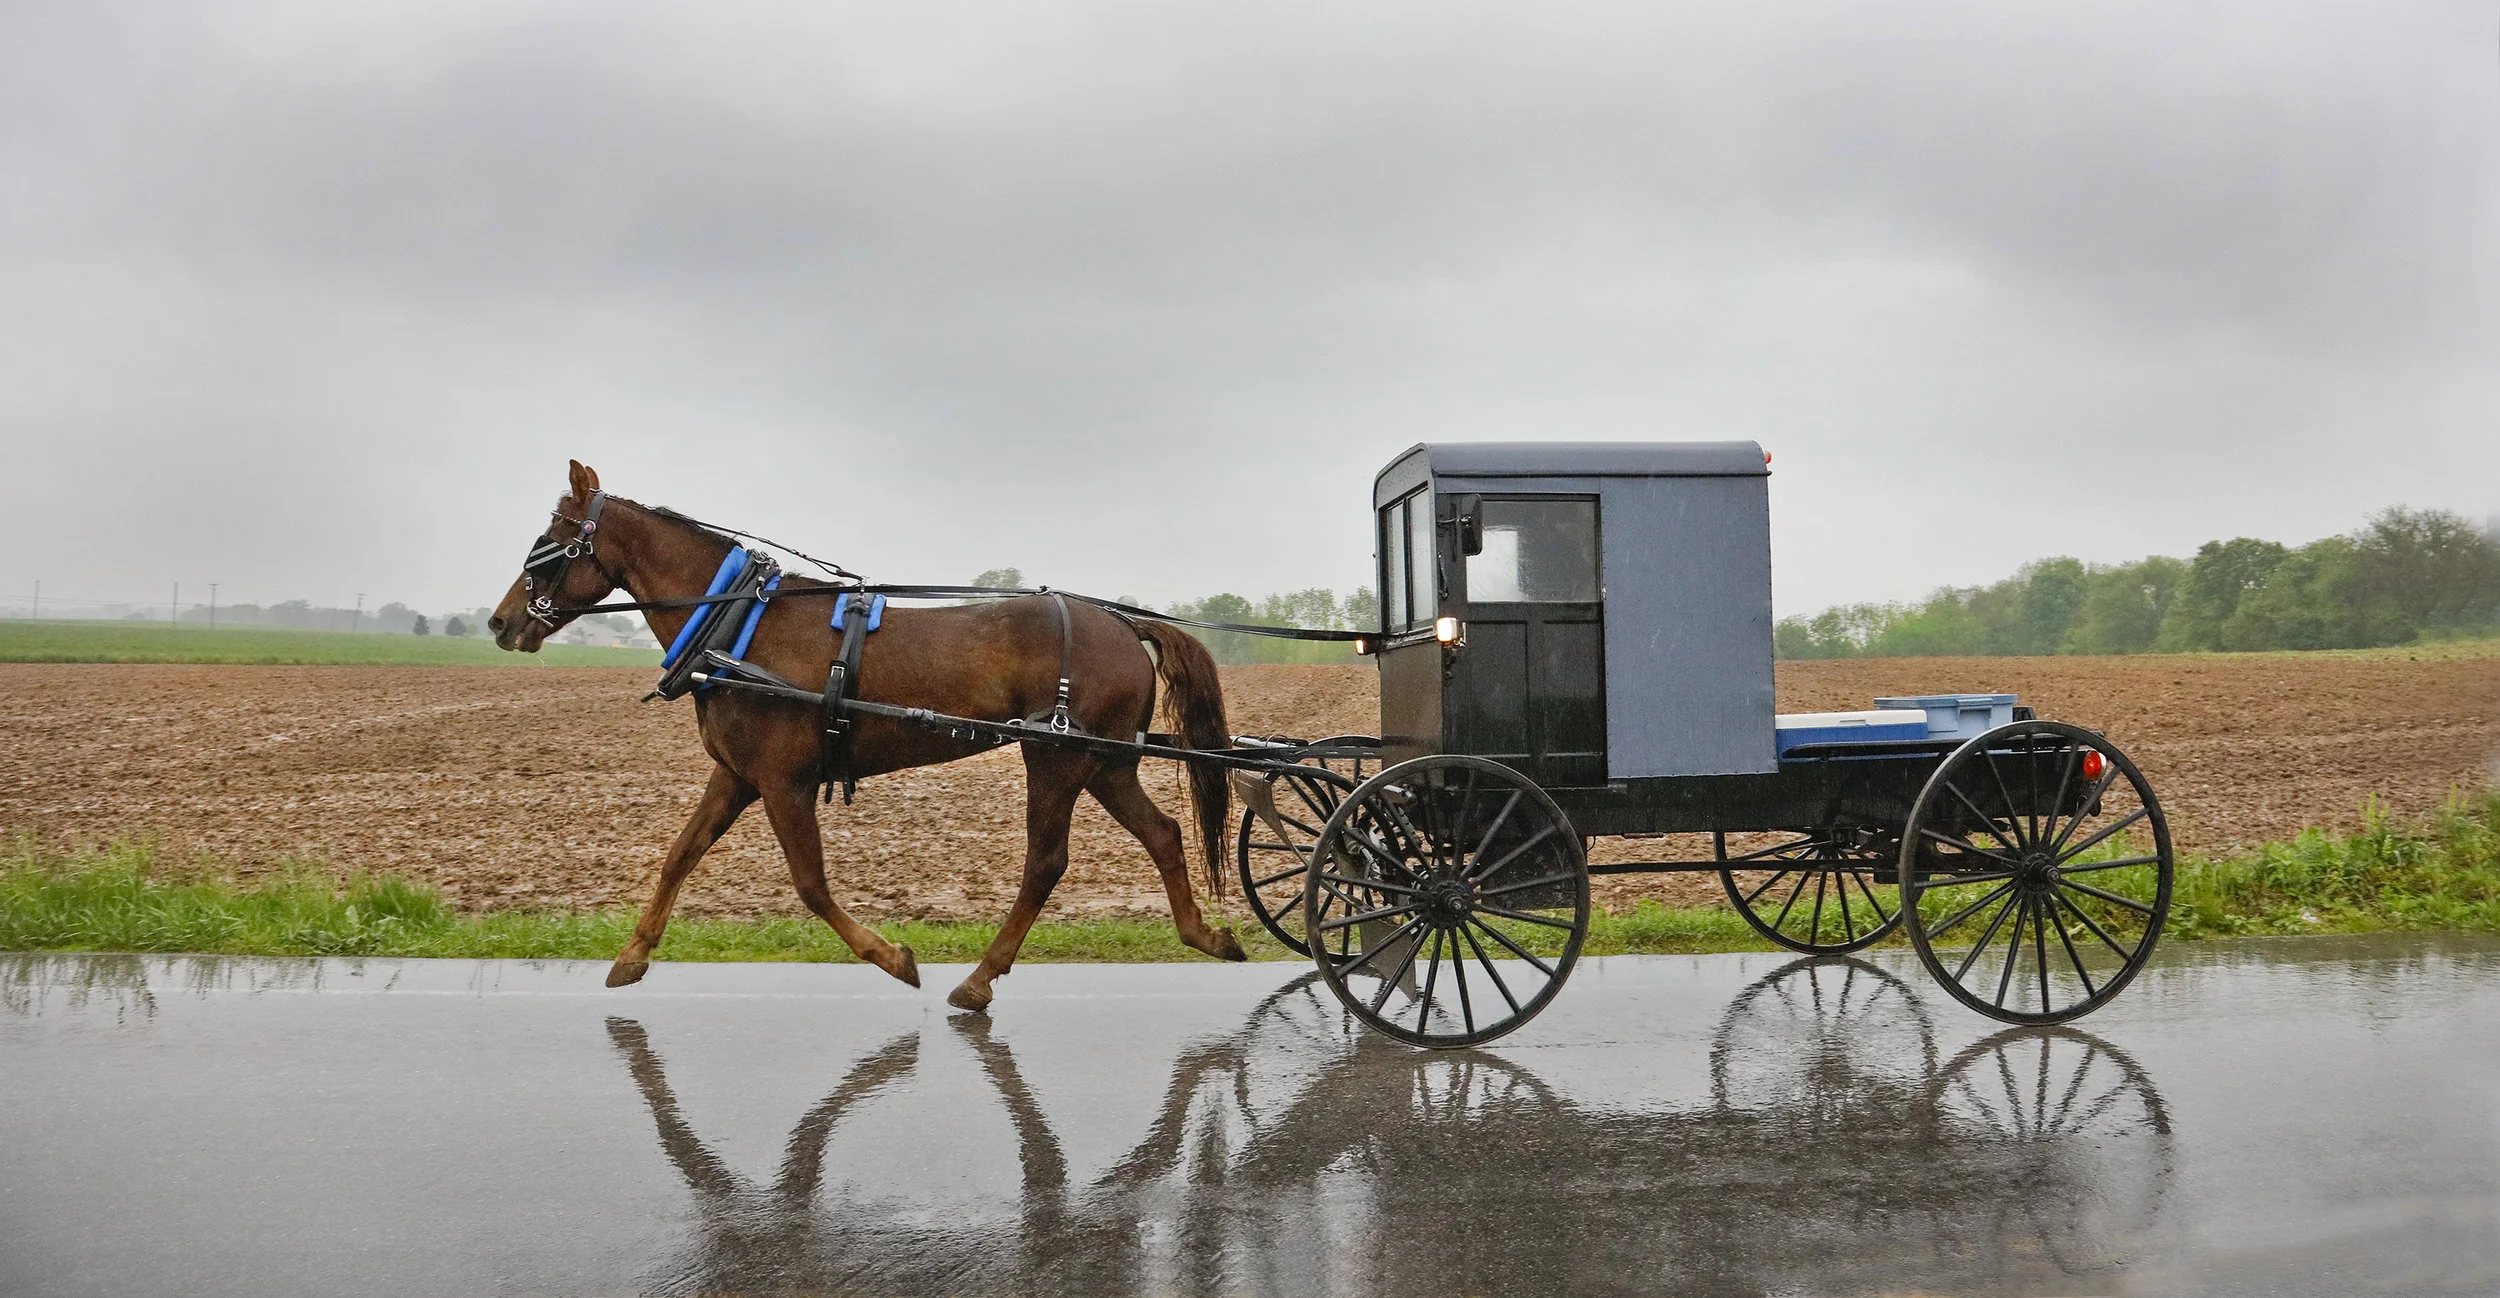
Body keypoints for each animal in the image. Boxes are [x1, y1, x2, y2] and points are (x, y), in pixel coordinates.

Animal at [482, 462, 1245, 1010]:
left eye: (552, 541)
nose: (500, 622)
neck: (739, 626)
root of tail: (1123, 623)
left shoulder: (782, 783)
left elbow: (811, 885)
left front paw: (893, 957)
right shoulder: (737, 777)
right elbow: (679, 857)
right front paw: (632, 956)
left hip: (1057, 759)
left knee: (1045, 863)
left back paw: (979, 977)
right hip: (1104, 764)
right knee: (1163, 834)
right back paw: (1205, 934)